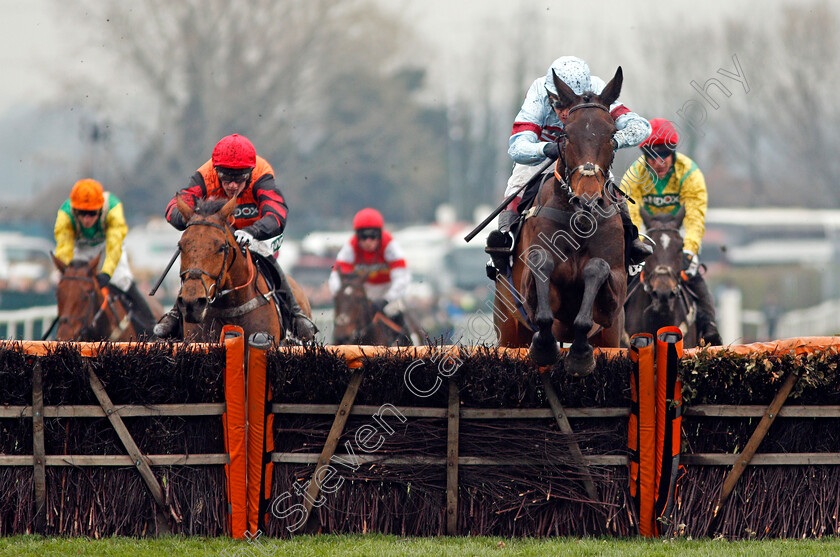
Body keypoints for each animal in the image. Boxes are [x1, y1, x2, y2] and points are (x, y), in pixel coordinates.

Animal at [496, 67, 628, 376]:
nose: (587, 199)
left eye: (612, 134)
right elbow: (541, 265)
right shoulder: (529, 293)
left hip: (613, 334)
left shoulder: (612, 302)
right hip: (508, 328)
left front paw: (580, 355)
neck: (579, 222)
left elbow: (597, 268)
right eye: (566, 134)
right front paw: (545, 348)